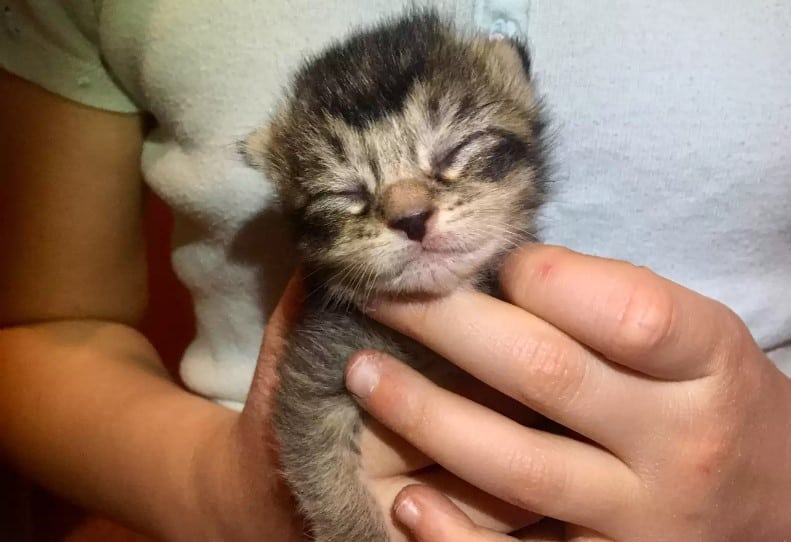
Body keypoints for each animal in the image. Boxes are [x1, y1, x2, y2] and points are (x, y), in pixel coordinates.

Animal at [244, 9, 548, 542]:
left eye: (452, 153)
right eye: (347, 193)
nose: (411, 218)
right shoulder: (312, 377)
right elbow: (325, 475)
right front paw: (356, 528)